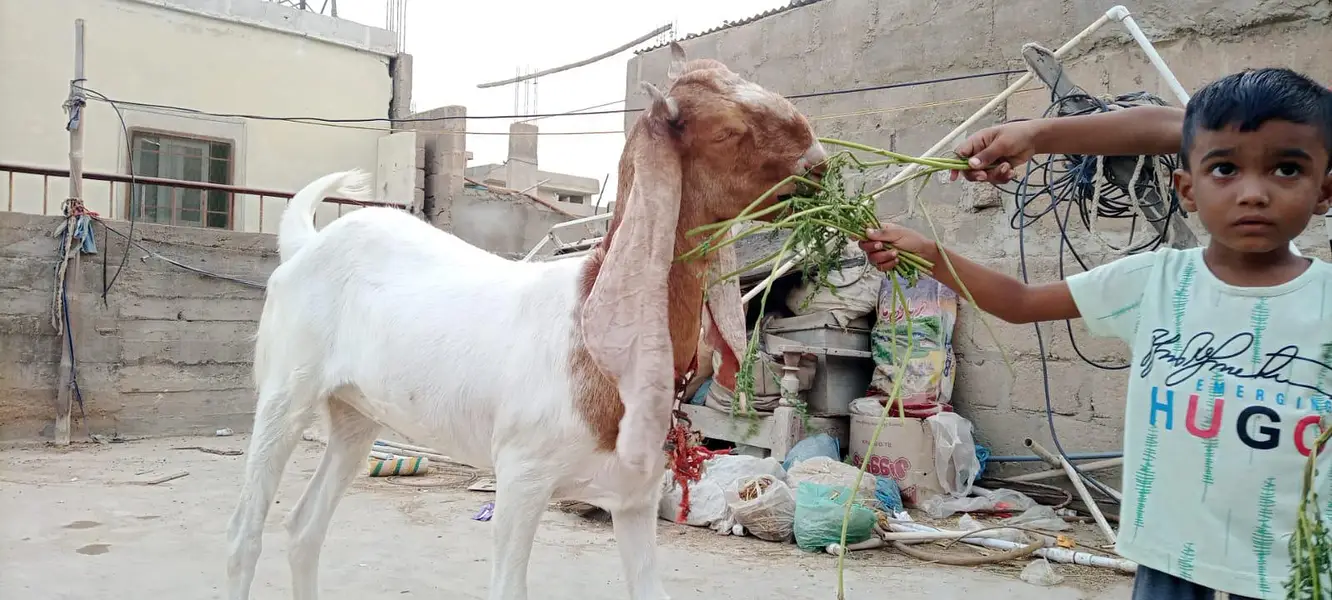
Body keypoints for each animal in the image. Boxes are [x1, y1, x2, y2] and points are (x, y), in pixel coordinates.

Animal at [225, 42, 828, 600]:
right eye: (727, 132)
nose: (820, 167)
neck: (590, 332)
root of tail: (306, 243)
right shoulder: (521, 475)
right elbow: (508, 585)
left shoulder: (635, 496)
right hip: (286, 389)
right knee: (245, 532)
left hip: (355, 411)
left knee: (305, 526)